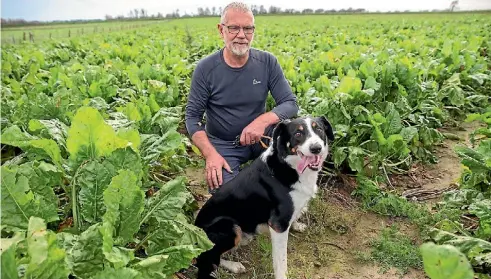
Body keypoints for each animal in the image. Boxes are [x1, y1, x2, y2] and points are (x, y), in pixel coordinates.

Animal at [194, 115, 336, 278]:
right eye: (298, 134)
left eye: (318, 129)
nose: (316, 148)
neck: (289, 166)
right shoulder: (278, 225)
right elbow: (281, 262)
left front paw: (297, 224)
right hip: (230, 228)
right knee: (205, 258)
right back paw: (233, 265)